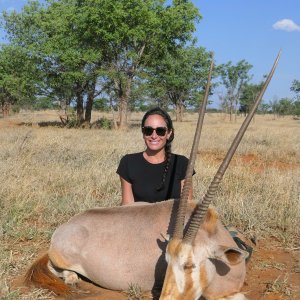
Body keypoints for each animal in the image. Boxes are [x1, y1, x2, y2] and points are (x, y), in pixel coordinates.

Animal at [24, 50, 280, 298]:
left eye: (190, 265)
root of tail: (63, 229)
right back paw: (72, 279)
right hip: (61, 261)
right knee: (57, 269)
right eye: (166, 262)